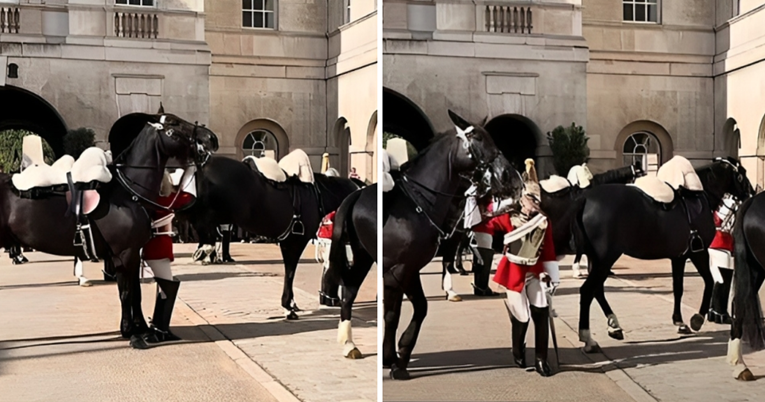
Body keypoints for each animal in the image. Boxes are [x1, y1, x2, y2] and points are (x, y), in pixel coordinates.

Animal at [0, 111, 218, 348]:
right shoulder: (125, 253)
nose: (210, 138)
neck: (127, 191)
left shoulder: (131, 254)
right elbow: (126, 292)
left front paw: (140, 328)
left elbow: (135, 292)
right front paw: (131, 332)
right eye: (173, 123)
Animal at [181, 155, 360, 318]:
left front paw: (291, 304)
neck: (319, 195)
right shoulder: (295, 241)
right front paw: (288, 306)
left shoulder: (288, 241)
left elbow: (290, 271)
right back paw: (204, 249)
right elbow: (290, 271)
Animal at [380, 110, 524, 380]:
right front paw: (393, 359)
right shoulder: (396, 270)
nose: (510, 177)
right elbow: (392, 314)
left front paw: (400, 353)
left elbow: (420, 307)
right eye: (477, 138)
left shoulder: (409, 268)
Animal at [576, 157, 748, 352]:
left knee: (597, 290)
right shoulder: (698, 252)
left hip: (598, 260)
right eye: (742, 174)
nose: (750, 194)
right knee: (588, 290)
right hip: (606, 259)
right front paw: (697, 319)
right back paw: (588, 338)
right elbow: (709, 281)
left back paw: (614, 326)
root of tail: (586, 200)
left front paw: (679, 322)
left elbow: (678, 288)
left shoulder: (679, 256)